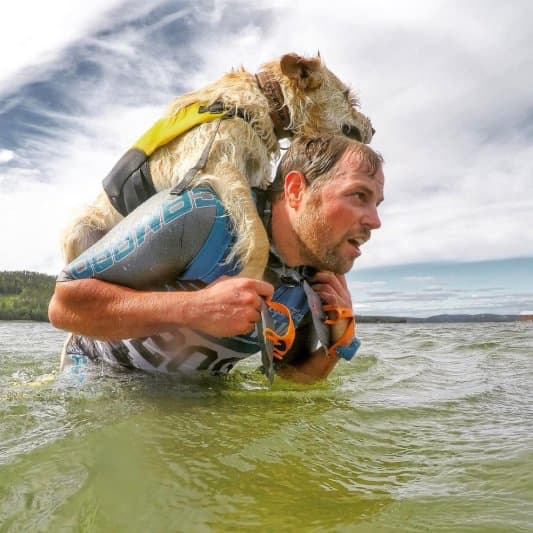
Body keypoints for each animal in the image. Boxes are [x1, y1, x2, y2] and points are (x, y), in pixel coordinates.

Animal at [60, 53, 372, 278]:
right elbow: (257, 237)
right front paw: (248, 279)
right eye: (346, 95)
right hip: (77, 233)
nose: (374, 129)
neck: (266, 101)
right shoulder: (217, 164)